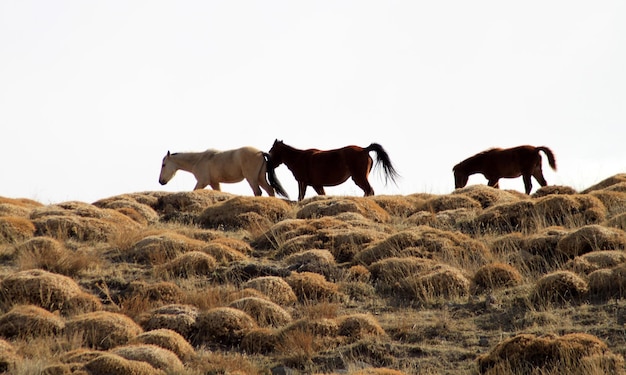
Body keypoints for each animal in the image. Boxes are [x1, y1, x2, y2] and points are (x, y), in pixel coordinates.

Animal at [160, 147, 288, 198]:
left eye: (163, 165)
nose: (161, 181)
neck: (198, 160)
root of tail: (260, 152)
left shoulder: (202, 181)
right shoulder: (214, 183)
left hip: (252, 179)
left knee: (258, 192)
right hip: (260, 178)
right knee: (270, 190)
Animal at [266, 140, 398, 201]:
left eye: (271, 151)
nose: (267, 166)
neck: (299, 158)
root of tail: (364, 149)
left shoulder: (305, 183)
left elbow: (301, 197)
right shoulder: (314, 184)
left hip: (359, 177)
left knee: (369, 190)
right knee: (368, 191)